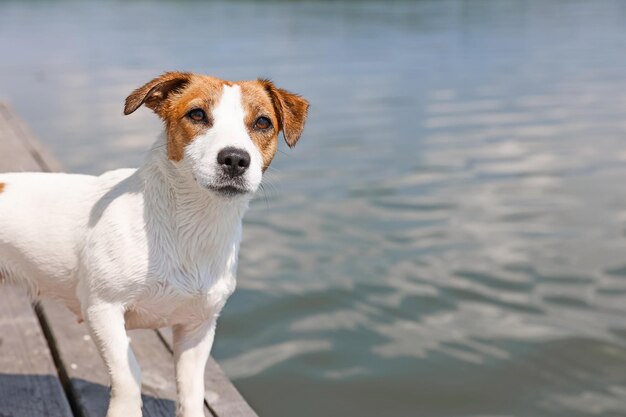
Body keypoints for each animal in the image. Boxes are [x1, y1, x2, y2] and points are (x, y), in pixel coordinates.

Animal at [0, 72, 308, 416]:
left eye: (263, 122)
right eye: (197, 114)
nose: (235, 159)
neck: (191, 226)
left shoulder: (197, 328)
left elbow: (192, 392)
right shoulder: (102, 309)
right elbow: (129, 373)